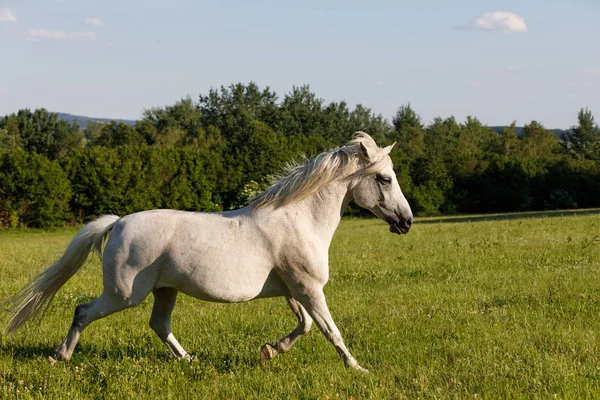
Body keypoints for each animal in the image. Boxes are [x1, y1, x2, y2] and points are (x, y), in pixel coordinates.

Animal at [5, 132, 412, 372]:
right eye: (384, 178)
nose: (406, 222)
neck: (299, 219)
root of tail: (118, 222)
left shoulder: (295, 290)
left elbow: (306, 326)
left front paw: (269, 350)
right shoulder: (309, 289)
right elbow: (330, 330)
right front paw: (357, 369)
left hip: (164, 291)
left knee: (159, 325)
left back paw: (188, 359)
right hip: (123, 294)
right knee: (84, 311)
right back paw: (60, 356)